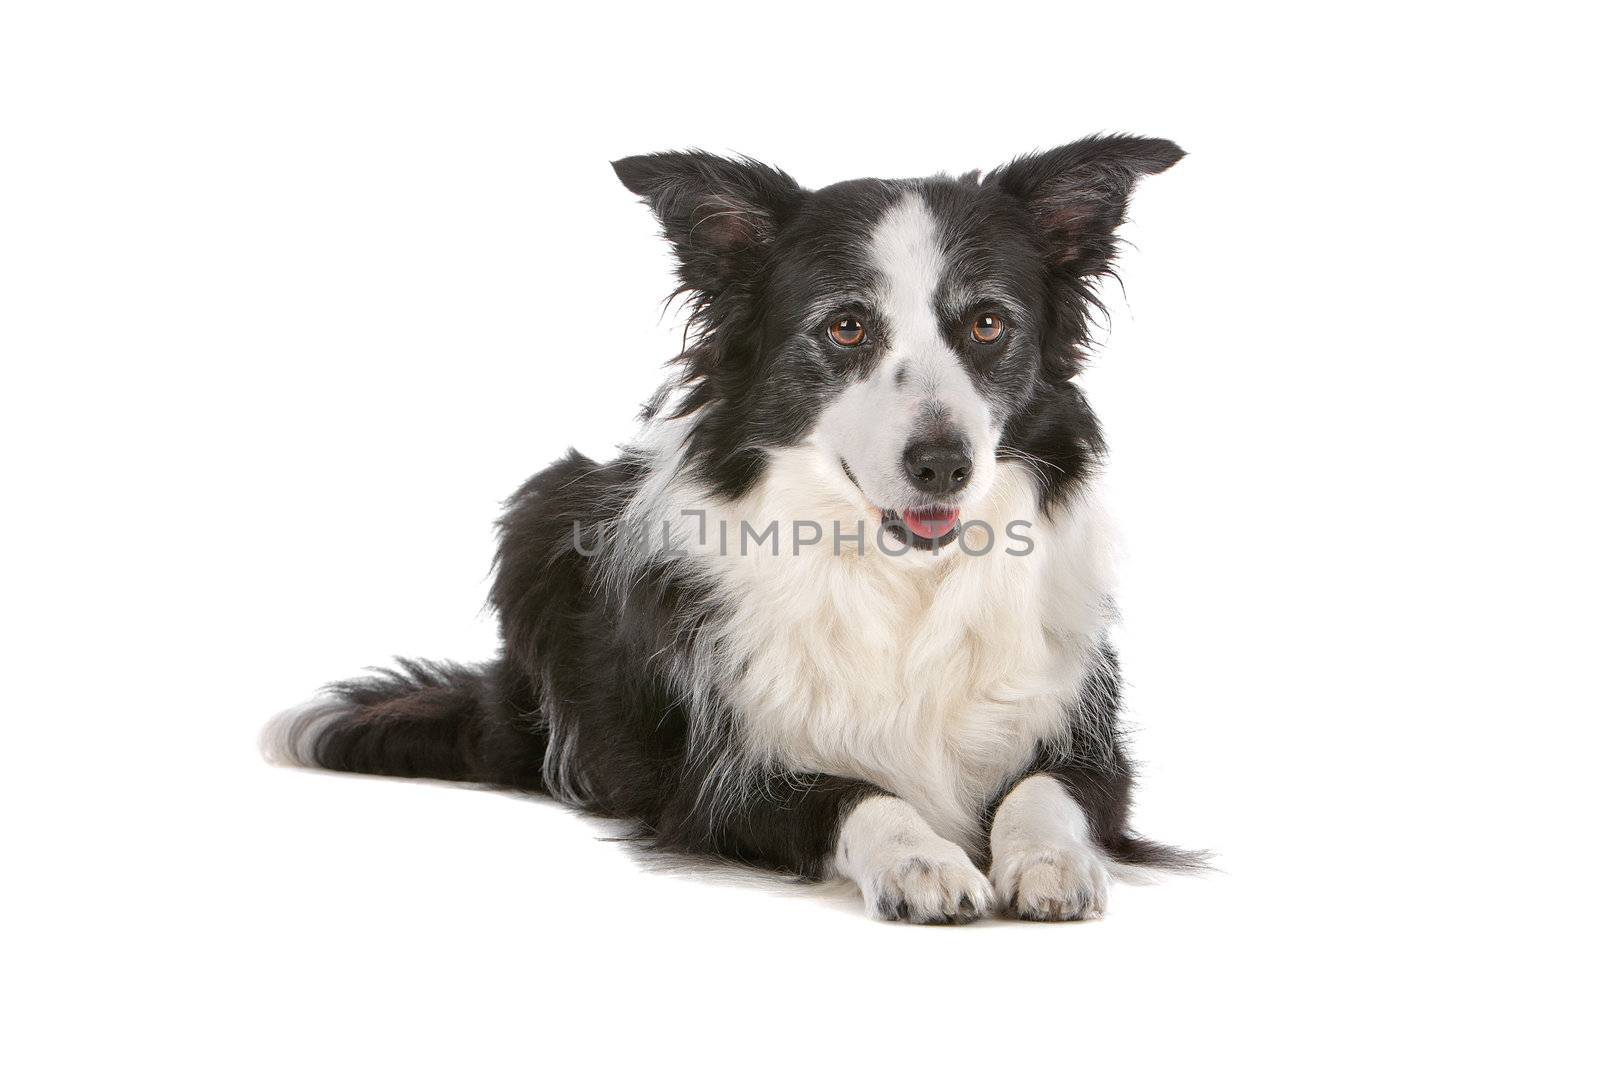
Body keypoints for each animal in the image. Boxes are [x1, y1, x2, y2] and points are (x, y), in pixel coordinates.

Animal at [268, 131, 1203, 921]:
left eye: (987, 323)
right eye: (846, 326)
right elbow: (858, 794)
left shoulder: (1091, 744)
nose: (943, 465)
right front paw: (923, 861)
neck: (898, 577)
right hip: (541, 509)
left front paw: (1050, 860)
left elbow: (1043, 791)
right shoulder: (715, 784)